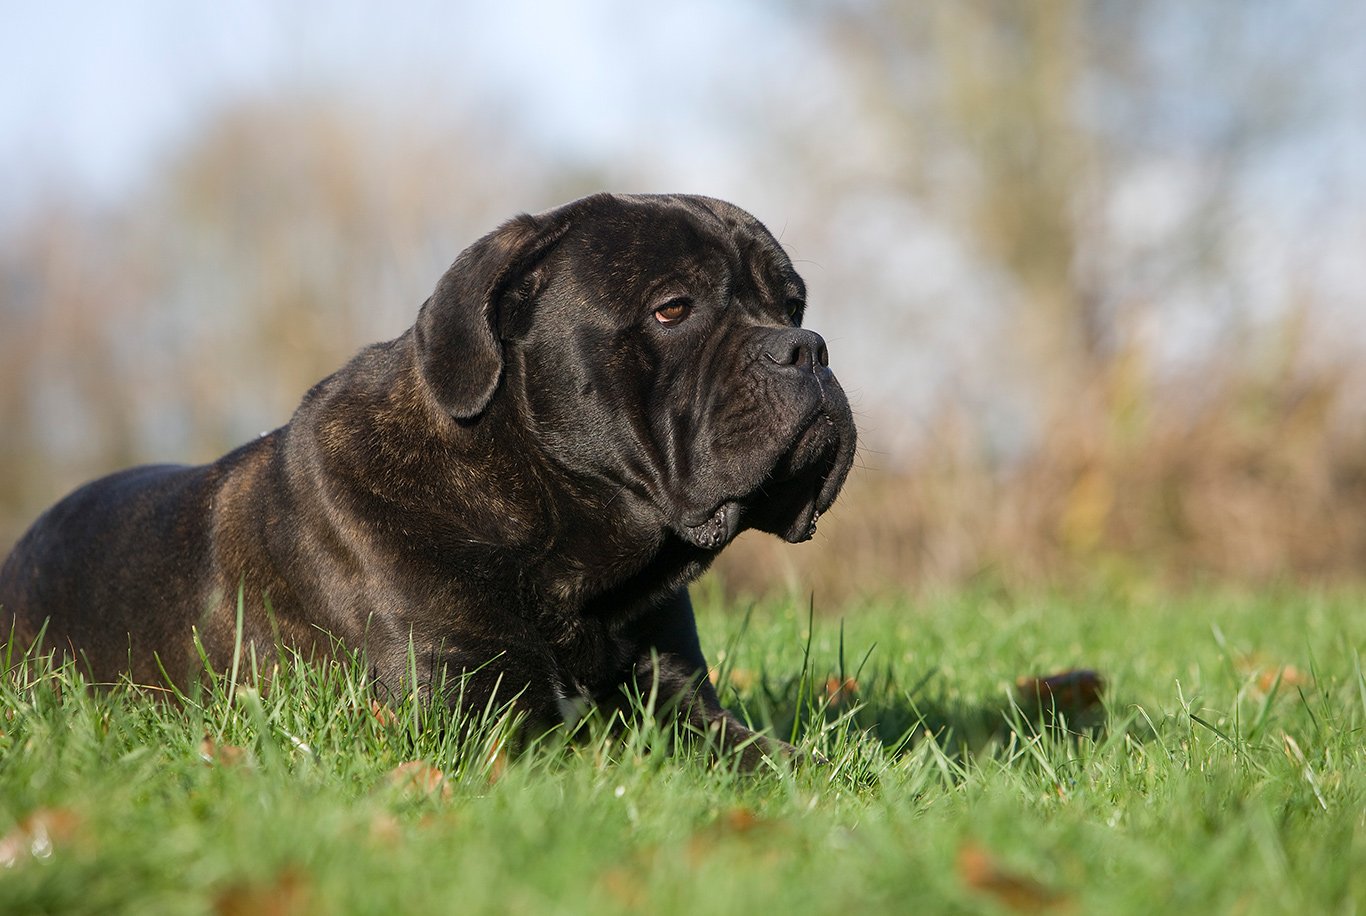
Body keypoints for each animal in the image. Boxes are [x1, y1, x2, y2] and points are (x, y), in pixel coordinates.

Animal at [0, 195, 852, 764]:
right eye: (673, 309)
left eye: (794, 304)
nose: (806, 347)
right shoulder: (474, 714)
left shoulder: (679, 701)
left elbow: (776, 761)